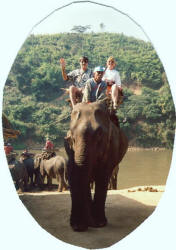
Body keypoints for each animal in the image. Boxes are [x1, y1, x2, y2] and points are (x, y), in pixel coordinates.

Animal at [64, 98, 128, 231]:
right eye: (71, 136)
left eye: (99, 134)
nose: (79, 227)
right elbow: (79, 177)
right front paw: (82, 224)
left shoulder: (112, 147)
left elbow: (102, 176)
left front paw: (99, 223)